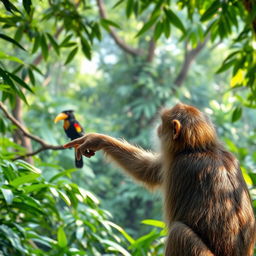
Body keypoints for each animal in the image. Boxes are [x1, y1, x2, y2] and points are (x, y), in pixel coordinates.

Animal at [64, 103, 256, 255]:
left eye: (163, 123)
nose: (157, 127)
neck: (200, 149)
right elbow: (149, 170)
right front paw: (96, 139)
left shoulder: (181, 167)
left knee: (179, 232)